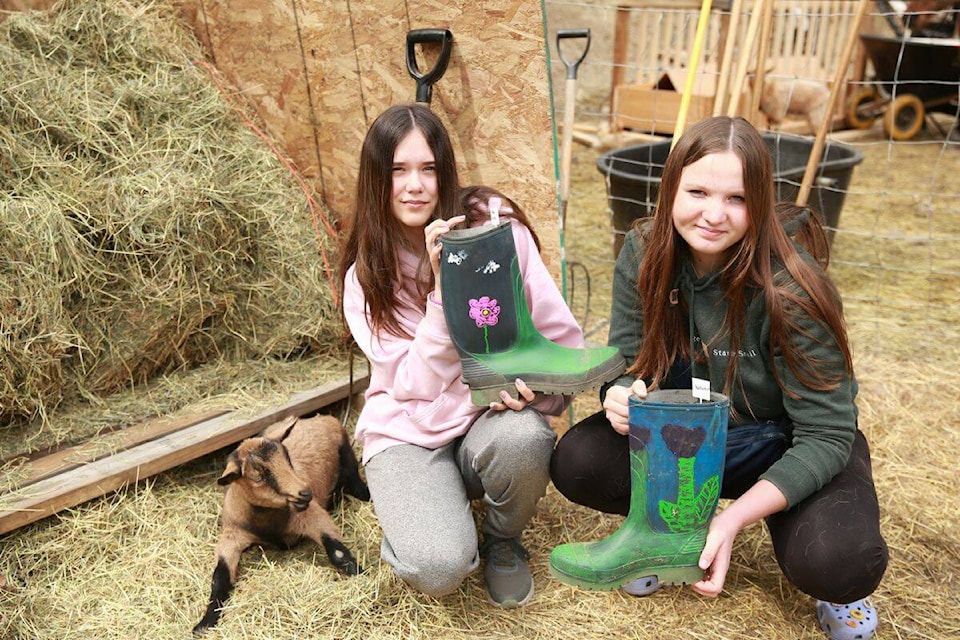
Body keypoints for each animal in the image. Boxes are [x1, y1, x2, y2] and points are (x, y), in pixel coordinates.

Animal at [193, 416, 370, 636]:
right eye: (257, 476)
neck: (268, 524)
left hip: (347, 455)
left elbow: (338, 553)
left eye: (288, 459)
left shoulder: (313, 516)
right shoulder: (233, 535)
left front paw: (363, 575)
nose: (305, 493)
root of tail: (316, 418)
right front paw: (204, 623)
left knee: (356, 482)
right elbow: (220, 577)